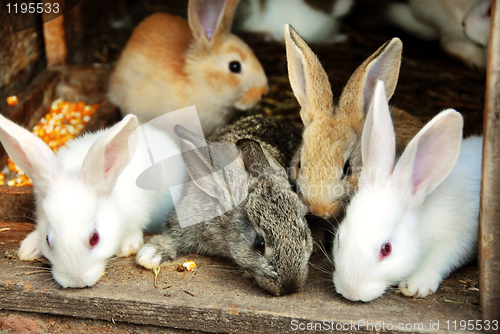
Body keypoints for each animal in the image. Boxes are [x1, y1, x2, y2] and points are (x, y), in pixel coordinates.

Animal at [334, 81, 482, 302]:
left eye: (386, 249)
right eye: (339, 238)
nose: (351, 292)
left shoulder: (457, 240)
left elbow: (438, 260)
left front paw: (415, 286)